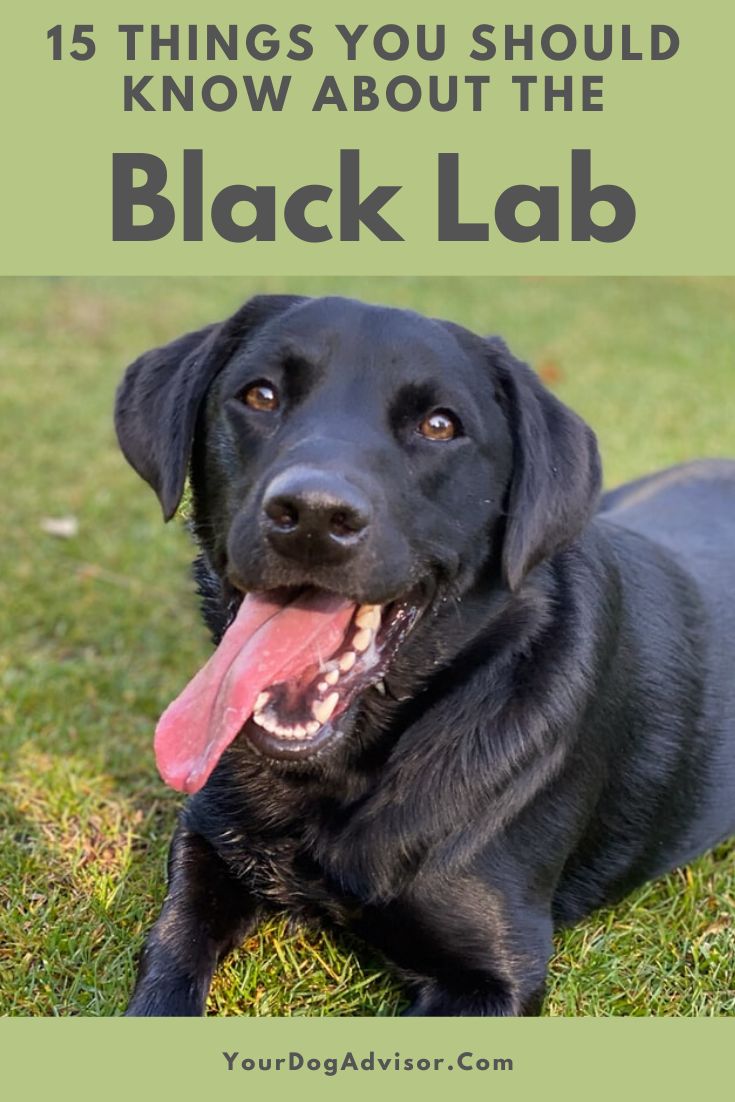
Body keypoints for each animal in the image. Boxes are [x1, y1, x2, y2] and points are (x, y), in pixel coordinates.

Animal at [115, 293, 735, 1013]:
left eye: (439, 425)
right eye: (259, 394)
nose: (312, 515)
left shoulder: (494, 974)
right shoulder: (207, 837)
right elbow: (170, 949)